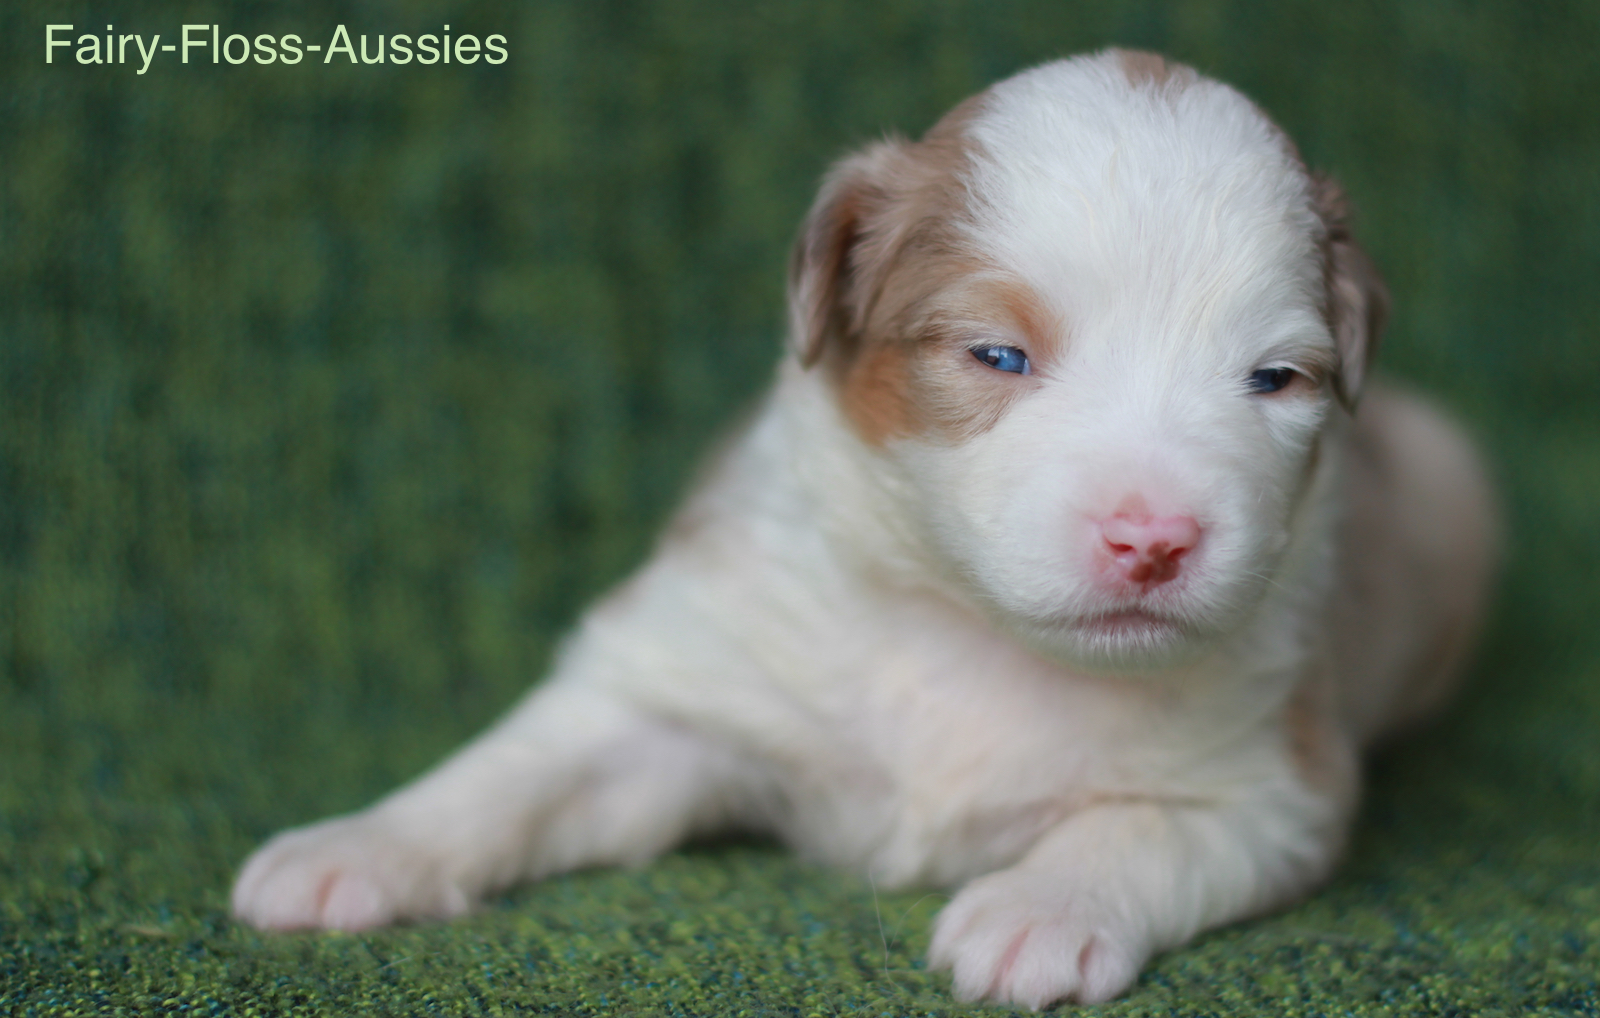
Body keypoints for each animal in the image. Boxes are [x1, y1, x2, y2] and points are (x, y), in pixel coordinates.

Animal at [232, 51, 1491, 1005]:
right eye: (997, 355)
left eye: (1274, 379)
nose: (1155, 538)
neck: (966, 629)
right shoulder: (682, 690)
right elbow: (516, 769)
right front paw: (358, 844)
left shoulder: (1268, 785)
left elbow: (1140, 831)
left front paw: (1038, 906)